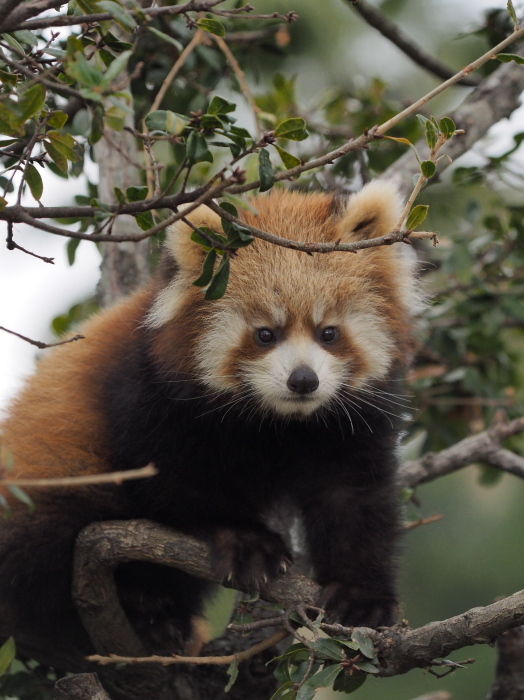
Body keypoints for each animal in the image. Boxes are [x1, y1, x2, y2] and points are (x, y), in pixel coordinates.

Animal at [0, 180, 418, 656]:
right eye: (265, 334)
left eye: (328, 333)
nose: (303, 380)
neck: (276, 422)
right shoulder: (149, 395)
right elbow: (177, 484)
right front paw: (243, 539)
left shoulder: (346, 422)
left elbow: (352, 496)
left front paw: (361, 593)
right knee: (45, 550)